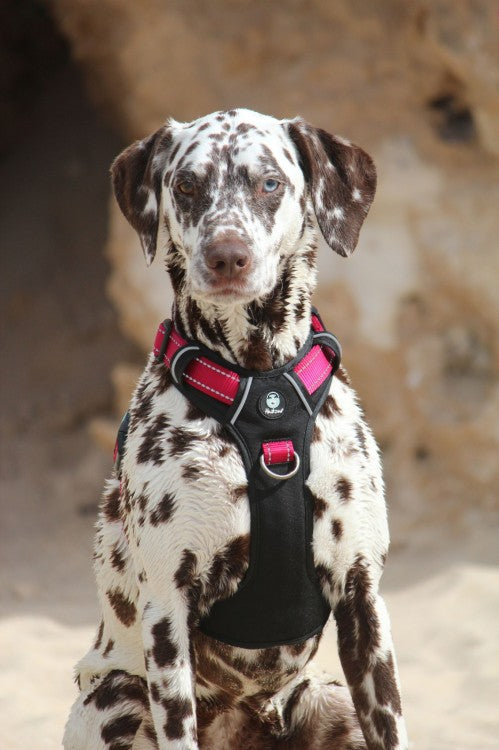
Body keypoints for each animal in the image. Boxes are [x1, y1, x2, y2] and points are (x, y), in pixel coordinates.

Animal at [63, 107, 406, 750]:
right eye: (186, 185)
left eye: (269, 183)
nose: (227, 255)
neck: (261, 392)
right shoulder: (167, 616)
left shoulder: (363, 600)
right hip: (112, 702)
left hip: (329, 698)